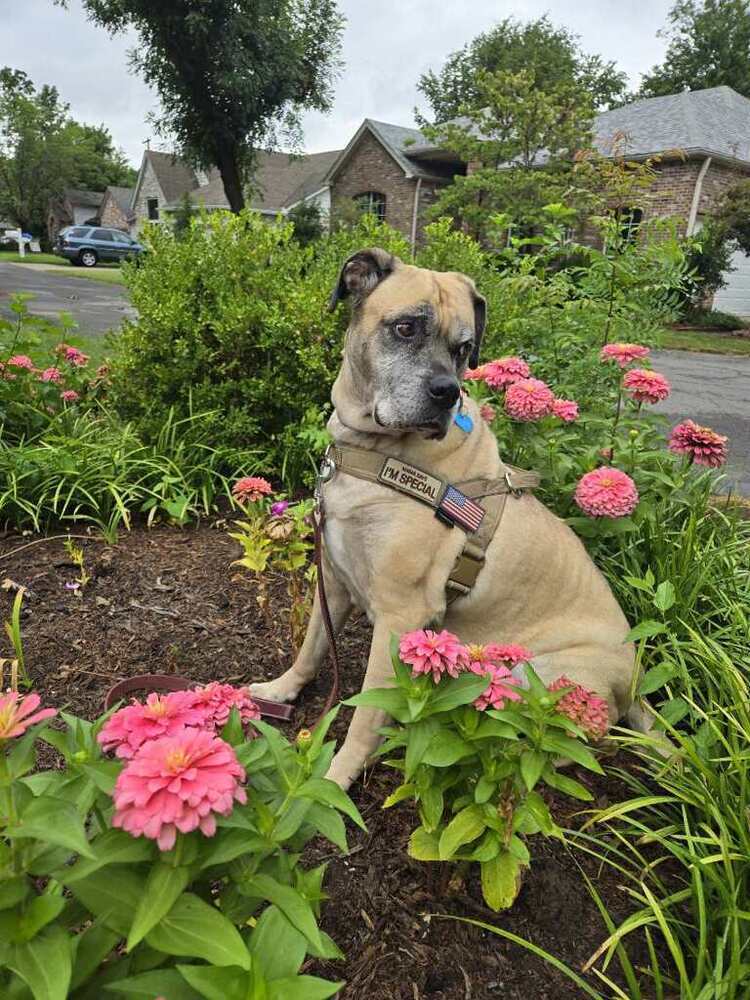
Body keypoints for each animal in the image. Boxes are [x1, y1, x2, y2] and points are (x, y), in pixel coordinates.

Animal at [250, 246, 644, 784]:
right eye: (405, 328)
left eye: (463, 348)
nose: (446, 392)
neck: (374, 449)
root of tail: (636, 681)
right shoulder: (332, 580)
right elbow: (311, 647)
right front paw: (280, 689)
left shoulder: (400, 616)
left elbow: (366, 713)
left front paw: (336, 777)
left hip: (537, 673)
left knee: (569, 742)